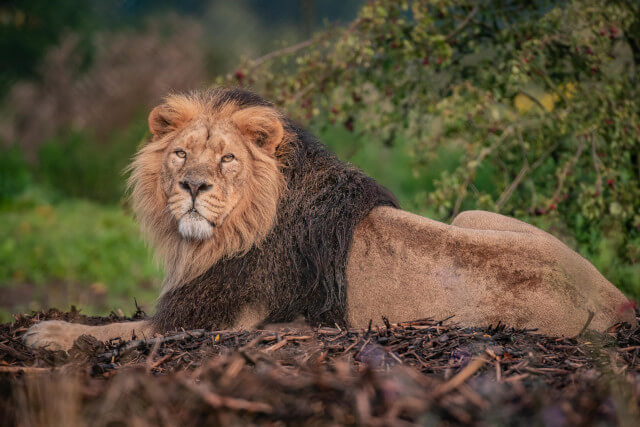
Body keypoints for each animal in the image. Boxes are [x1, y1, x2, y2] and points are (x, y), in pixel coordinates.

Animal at [23, 88, 636, 352]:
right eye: (180, 154)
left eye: (227, 159)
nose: (192, 186)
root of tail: (614, 297)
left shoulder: (208, 319)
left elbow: (112, 330)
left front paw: (49, 332)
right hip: (469, 212)